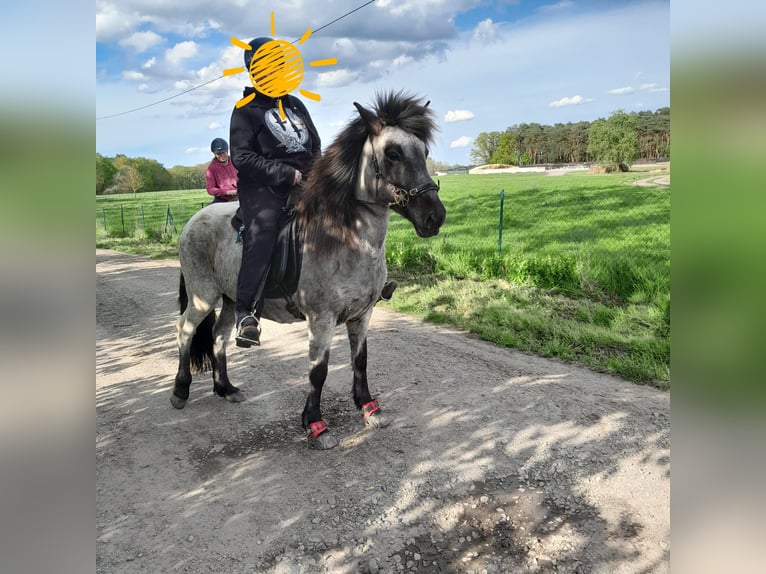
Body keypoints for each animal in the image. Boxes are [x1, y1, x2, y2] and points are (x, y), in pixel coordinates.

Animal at [171, 90, 446, 449]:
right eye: (393, 153)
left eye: (423, 152)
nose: (434, 217)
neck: (344, 237)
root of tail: (193, 221)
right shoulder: (322, 318)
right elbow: (319, 370)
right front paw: (316, 425)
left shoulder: (362, 315)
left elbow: (360, 361)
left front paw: (370, 409)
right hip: (202, 295)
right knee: (185, 331)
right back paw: (180, 391)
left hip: (231, 299)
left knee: (218, 336)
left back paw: (226, 388)